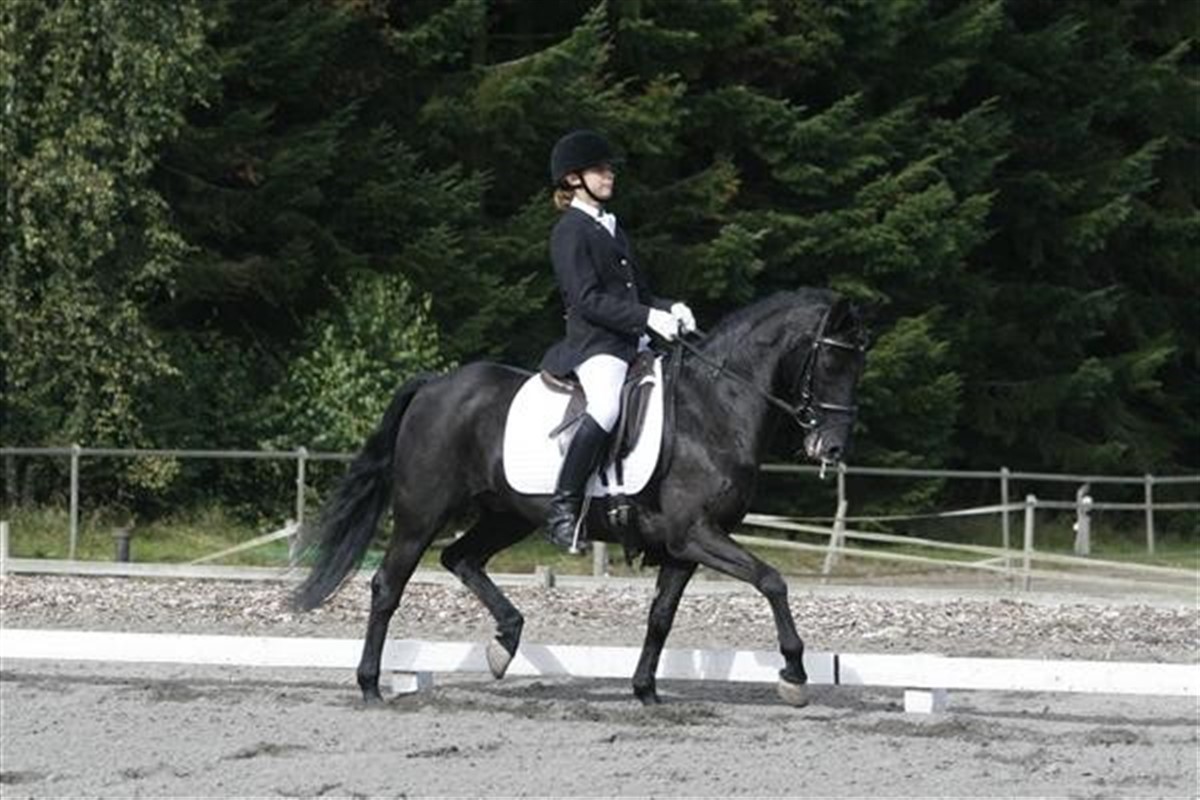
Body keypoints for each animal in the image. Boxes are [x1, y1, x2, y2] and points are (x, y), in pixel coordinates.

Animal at [294, 288, 868, 706]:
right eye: (830, 363)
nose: (833, 448)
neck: (712, 409)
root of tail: (436, 385)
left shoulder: (684, 546)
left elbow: (661, 616)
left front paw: (646, 691)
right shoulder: (697, 533)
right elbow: (772, 581)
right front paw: (794, 673)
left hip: (508, 515)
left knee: (460, 558)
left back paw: (504, 643)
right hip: (421, 514)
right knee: (388, 586)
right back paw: (370, 685)